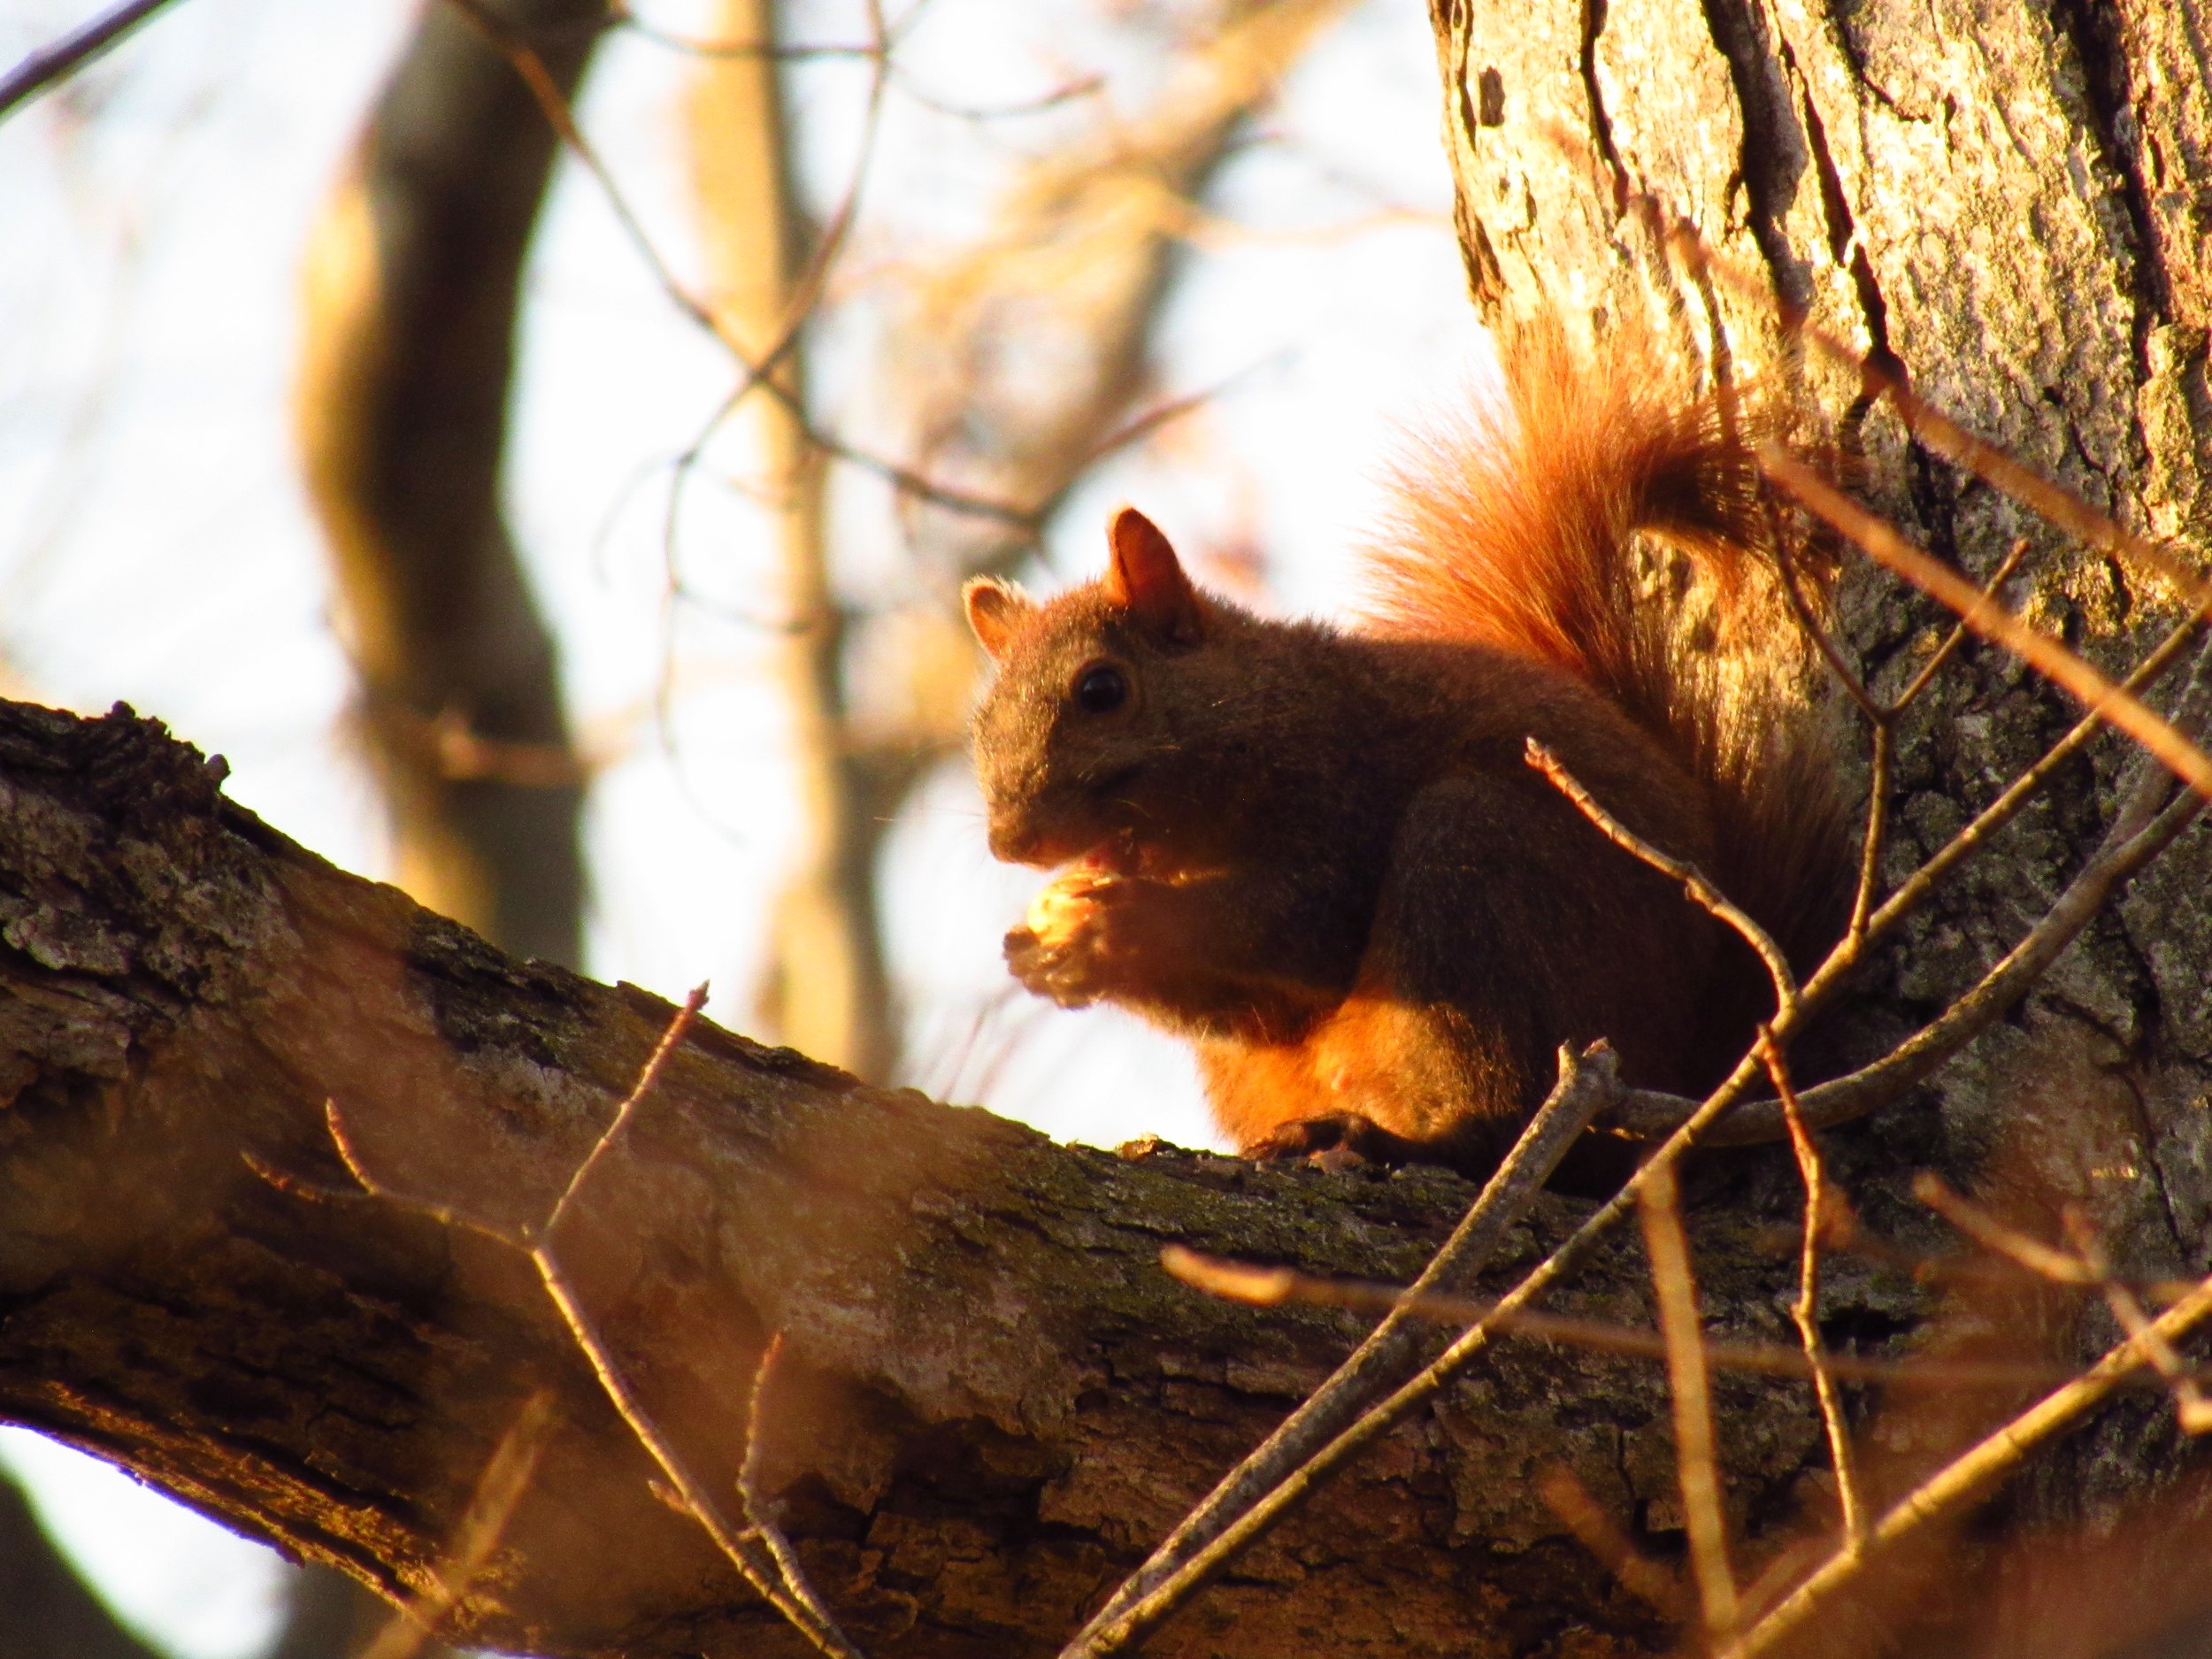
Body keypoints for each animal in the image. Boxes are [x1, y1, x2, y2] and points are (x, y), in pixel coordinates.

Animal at [960, 321, 1852, 1178]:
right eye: (979, 727)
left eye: (1101, 690)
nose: (1010, 843)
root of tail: (1689, 1059)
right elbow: (1259, 1006)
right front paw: (1039, 955)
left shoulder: (1336, 794)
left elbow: (1296, 925)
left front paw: (1114, 923)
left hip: (1484, 880)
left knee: (1504, 1125)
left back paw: (1400, 1139)